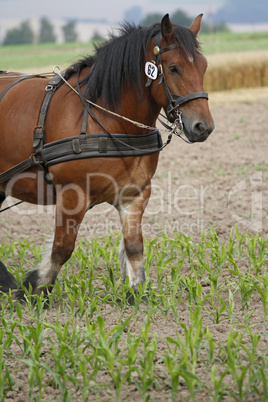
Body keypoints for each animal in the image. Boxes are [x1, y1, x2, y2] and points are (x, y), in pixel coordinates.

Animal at [0, 14, 215, 304]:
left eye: (203, 67)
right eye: (173, 68)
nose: (203, 127)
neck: (107, 119)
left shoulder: (135, 194)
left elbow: (134, 246)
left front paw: (137, 291)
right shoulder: (72, 195)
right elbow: (62, 247)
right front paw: (35, 289)